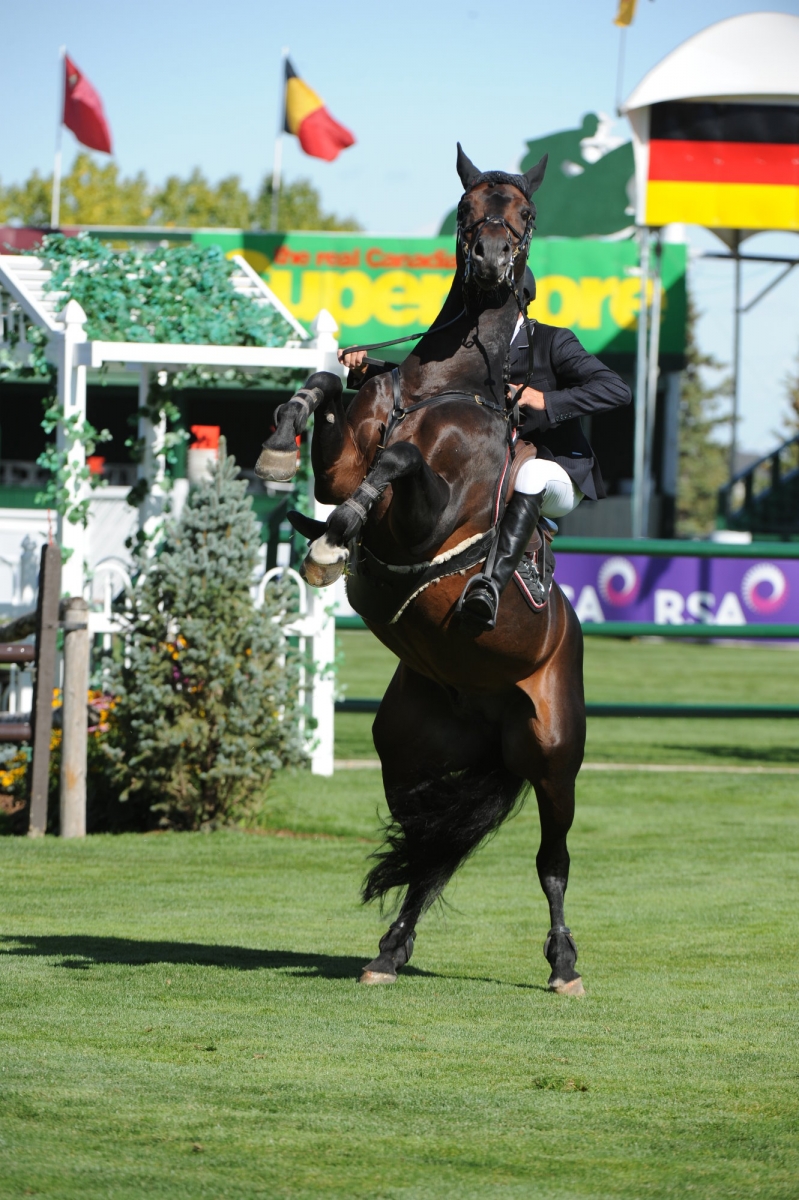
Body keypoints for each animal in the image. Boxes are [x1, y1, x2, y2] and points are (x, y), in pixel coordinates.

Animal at [255, 145, 586, 996]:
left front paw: (333, 540)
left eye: (526, 213)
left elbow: (398, 463)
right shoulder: (340, 459)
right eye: (467, 209)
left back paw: (564, 965)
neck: (445, 383)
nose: (492, 258)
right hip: (410, 753)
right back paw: (388, 953)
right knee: (431, 855)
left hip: (552, 754)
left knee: (552, 860)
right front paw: (277, 455)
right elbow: (324, 390)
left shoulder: (430, 509)